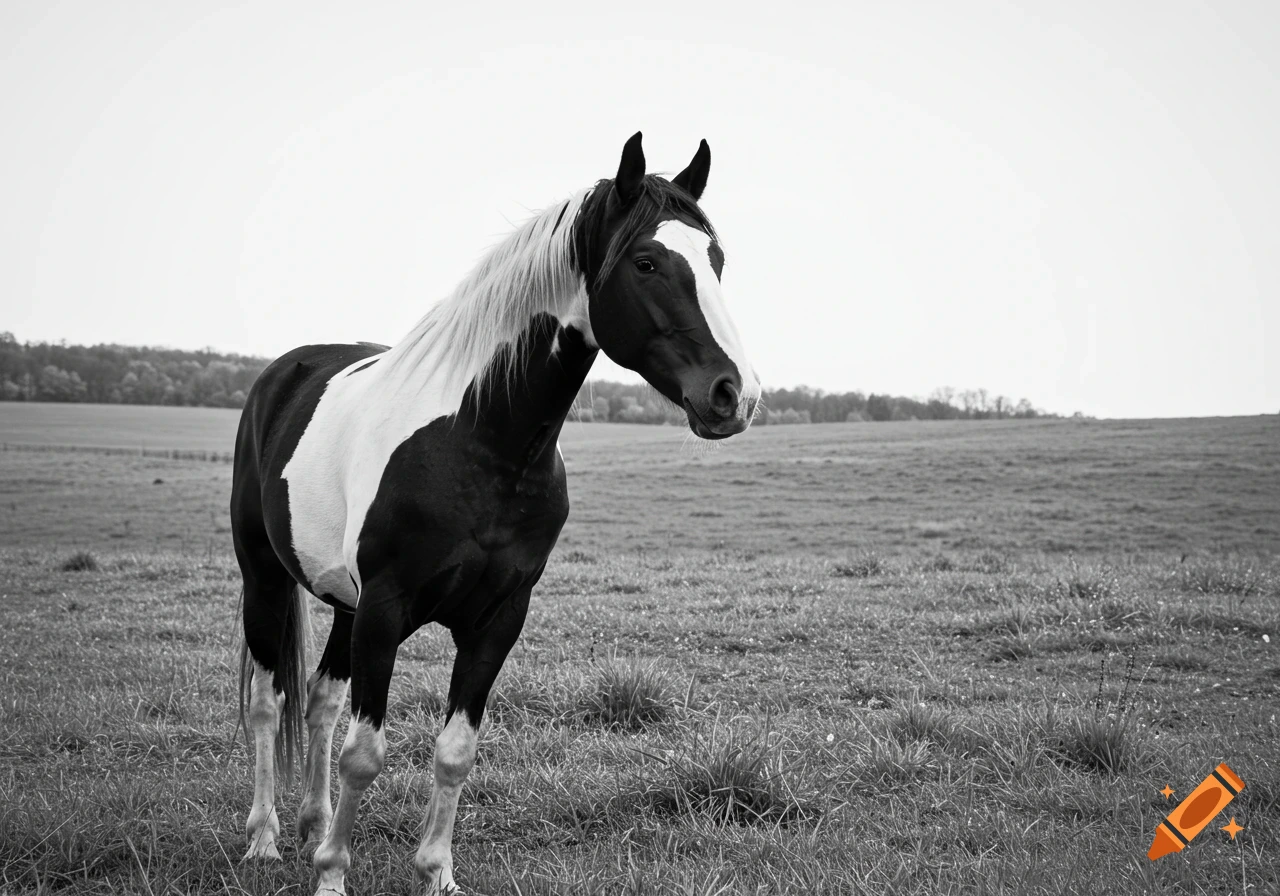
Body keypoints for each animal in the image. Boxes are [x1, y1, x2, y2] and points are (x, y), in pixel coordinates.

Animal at [229, 132, 760, 895]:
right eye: (646, 261)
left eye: (716, 260)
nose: (733, 395)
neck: (482, 444)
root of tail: (287, 370)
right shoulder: (386, 608)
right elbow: (367, 752)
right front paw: (333, 875)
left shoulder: (497, 618)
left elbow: (455, 750)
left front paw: (435, 874)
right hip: (266, 579)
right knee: (270, 703)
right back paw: (267, 839)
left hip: (344, 604)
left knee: (322, 700)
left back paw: (311, 826)